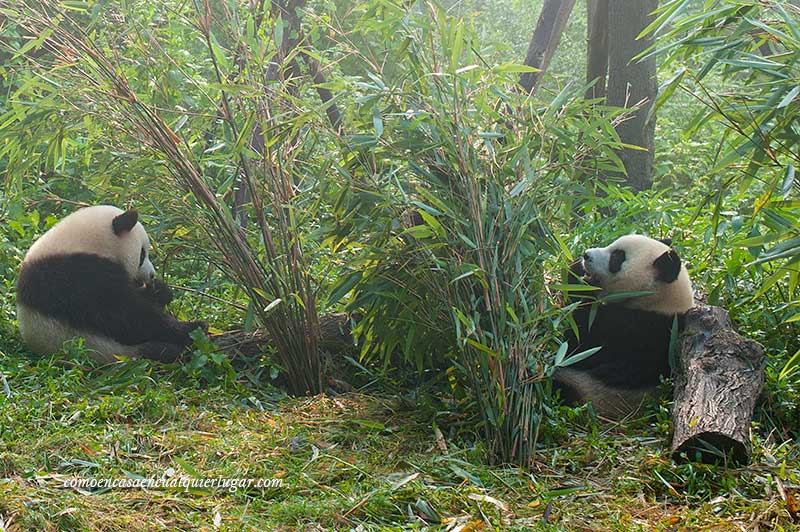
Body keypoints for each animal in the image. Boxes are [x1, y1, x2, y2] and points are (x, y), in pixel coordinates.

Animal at [15, 206, 206, 364]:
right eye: (142, 254)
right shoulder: (76, 275)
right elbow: (125, 314)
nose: (152, 275)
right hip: (105, 347)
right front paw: (191, 328)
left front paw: (161, 291)